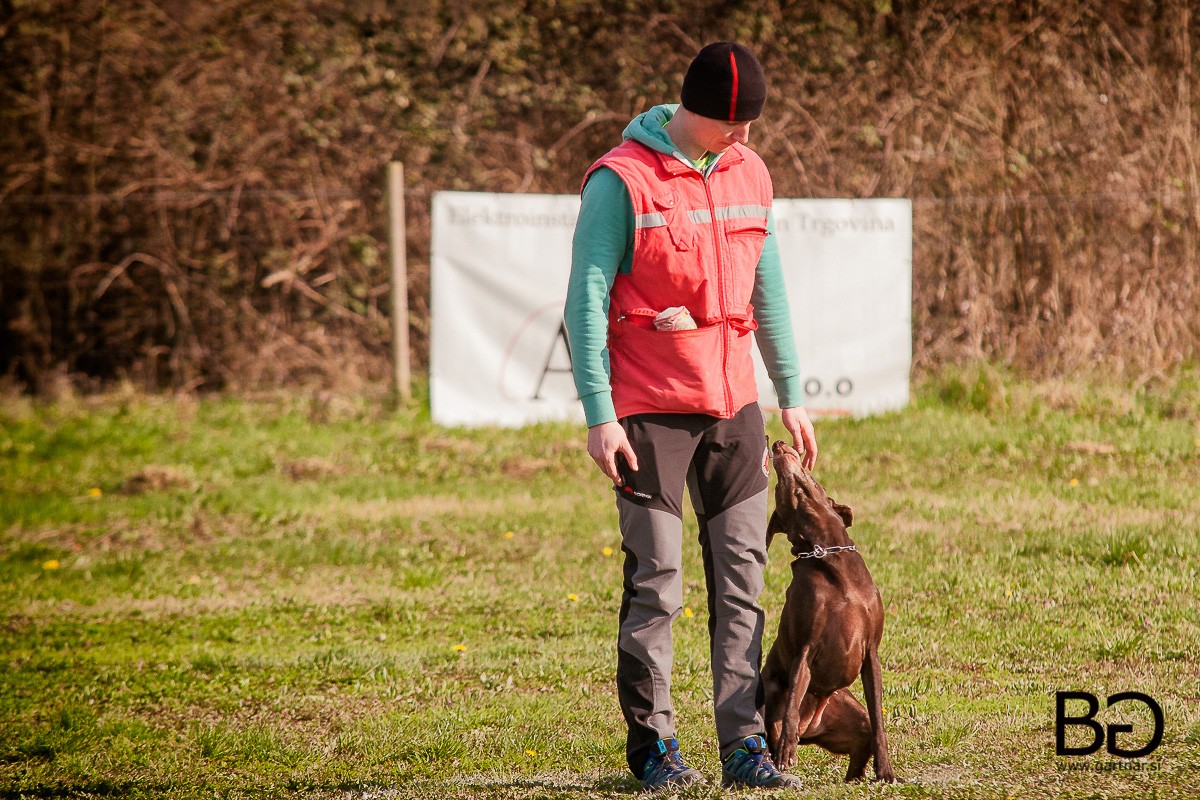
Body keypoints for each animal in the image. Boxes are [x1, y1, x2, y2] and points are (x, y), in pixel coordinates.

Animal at [761, 440, 896, 783]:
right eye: (779, 489)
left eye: (811, 477)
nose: (779, 443)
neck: (826, 554)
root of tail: (811, 725)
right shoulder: (804, 649)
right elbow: (791, 704)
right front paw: (786, 756)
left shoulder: (871, 653)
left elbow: (879, 721)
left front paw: (886, 772)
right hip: (774, 701)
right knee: (779, 726)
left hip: (849, 716)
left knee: (862, 742)